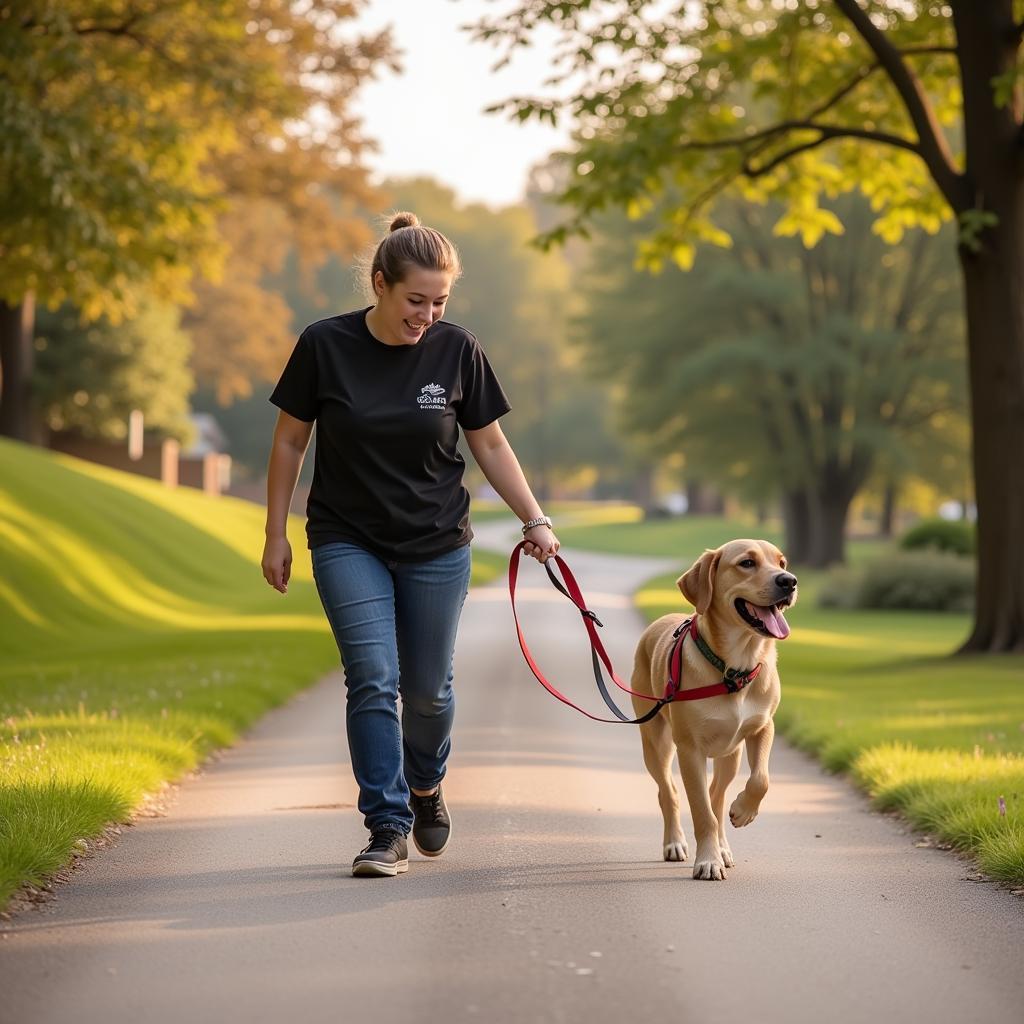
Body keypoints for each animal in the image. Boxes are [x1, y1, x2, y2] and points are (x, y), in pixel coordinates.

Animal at [626, 540, 794, 884]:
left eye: (781, 562)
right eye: (747, 563)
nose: (789, 581)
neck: (735, 669)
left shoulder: (763, 727)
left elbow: (761, 779)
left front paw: (743, 811)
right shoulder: (690, 750)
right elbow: (702, 812)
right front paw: (707, 861)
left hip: (731, 755)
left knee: (717, 795)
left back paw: (724, 843)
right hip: (656, 743)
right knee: (670, 792)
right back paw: (675, 843)